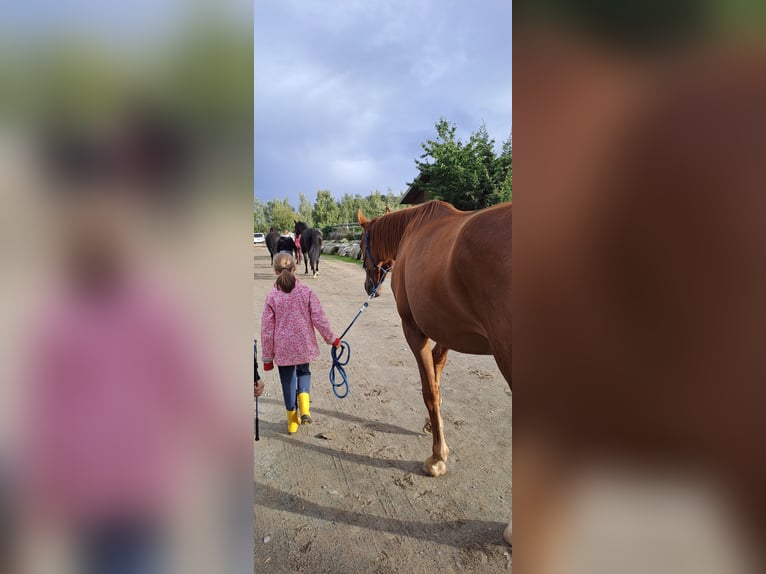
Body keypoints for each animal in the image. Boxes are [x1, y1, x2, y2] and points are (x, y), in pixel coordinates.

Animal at [356, 202, 512, 548]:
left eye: (361, 246)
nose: (369, 288)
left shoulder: (415, 330)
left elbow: (429, 389)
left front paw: (437, 457)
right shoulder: (446, 329)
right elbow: (437, 375)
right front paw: (432, 426)